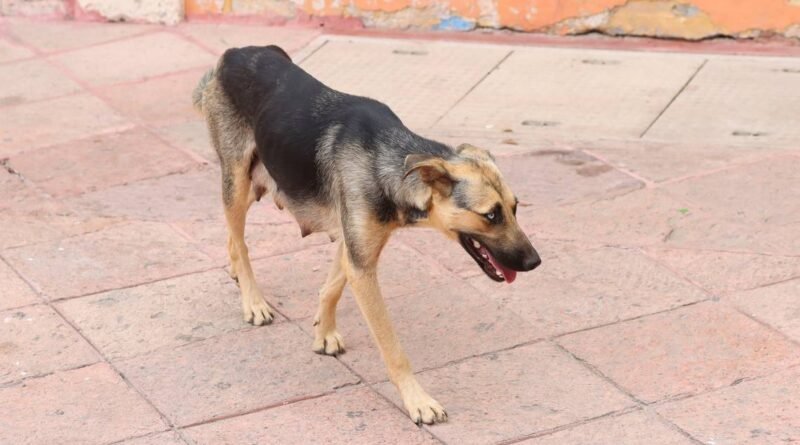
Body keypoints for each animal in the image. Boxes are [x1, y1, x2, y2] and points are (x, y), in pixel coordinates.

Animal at [195, 44, 544, 424]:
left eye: (515, 208)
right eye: (491, 215)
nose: (535, 262)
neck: (386, 160)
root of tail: (236, 52)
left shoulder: (354, 246)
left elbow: (332, 287)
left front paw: (324, 332)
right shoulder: (362, 264)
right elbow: (393, 347)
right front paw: (418, 400)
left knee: (234, 238)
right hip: (236, 178)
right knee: (240, 239)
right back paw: (253, 301)